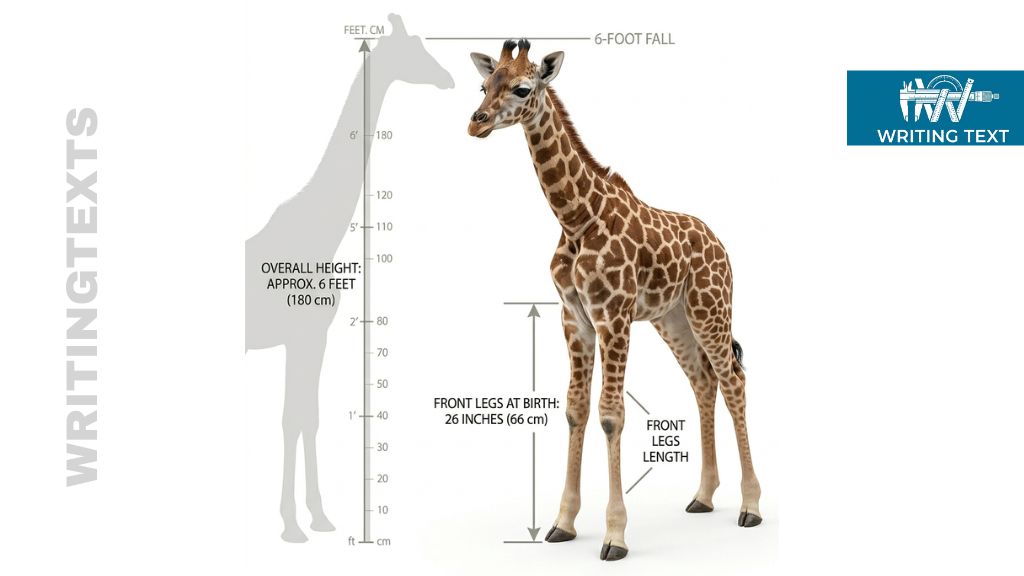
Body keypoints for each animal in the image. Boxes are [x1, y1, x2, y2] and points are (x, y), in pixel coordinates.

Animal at [245, 14, 452, 543]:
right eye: (415, 50)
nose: (448, 78)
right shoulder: (304, 334)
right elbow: (295, 419)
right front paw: (294, 524)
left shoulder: (309, 337)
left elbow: (305, 418)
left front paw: (315, 517)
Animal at [468, 40, 761, 561]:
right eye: (484, 84)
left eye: (522, 87)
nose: (475, 122)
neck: (575, 218)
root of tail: (720, 244)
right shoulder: (574, 318)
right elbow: (575, 409)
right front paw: (563, 523)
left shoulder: (614, 316)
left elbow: (610, 416)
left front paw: (615, 535)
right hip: (673, 319)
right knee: (703, 381)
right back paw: (703, 496)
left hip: (710, 308)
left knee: (733, 381)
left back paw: (751, 506)